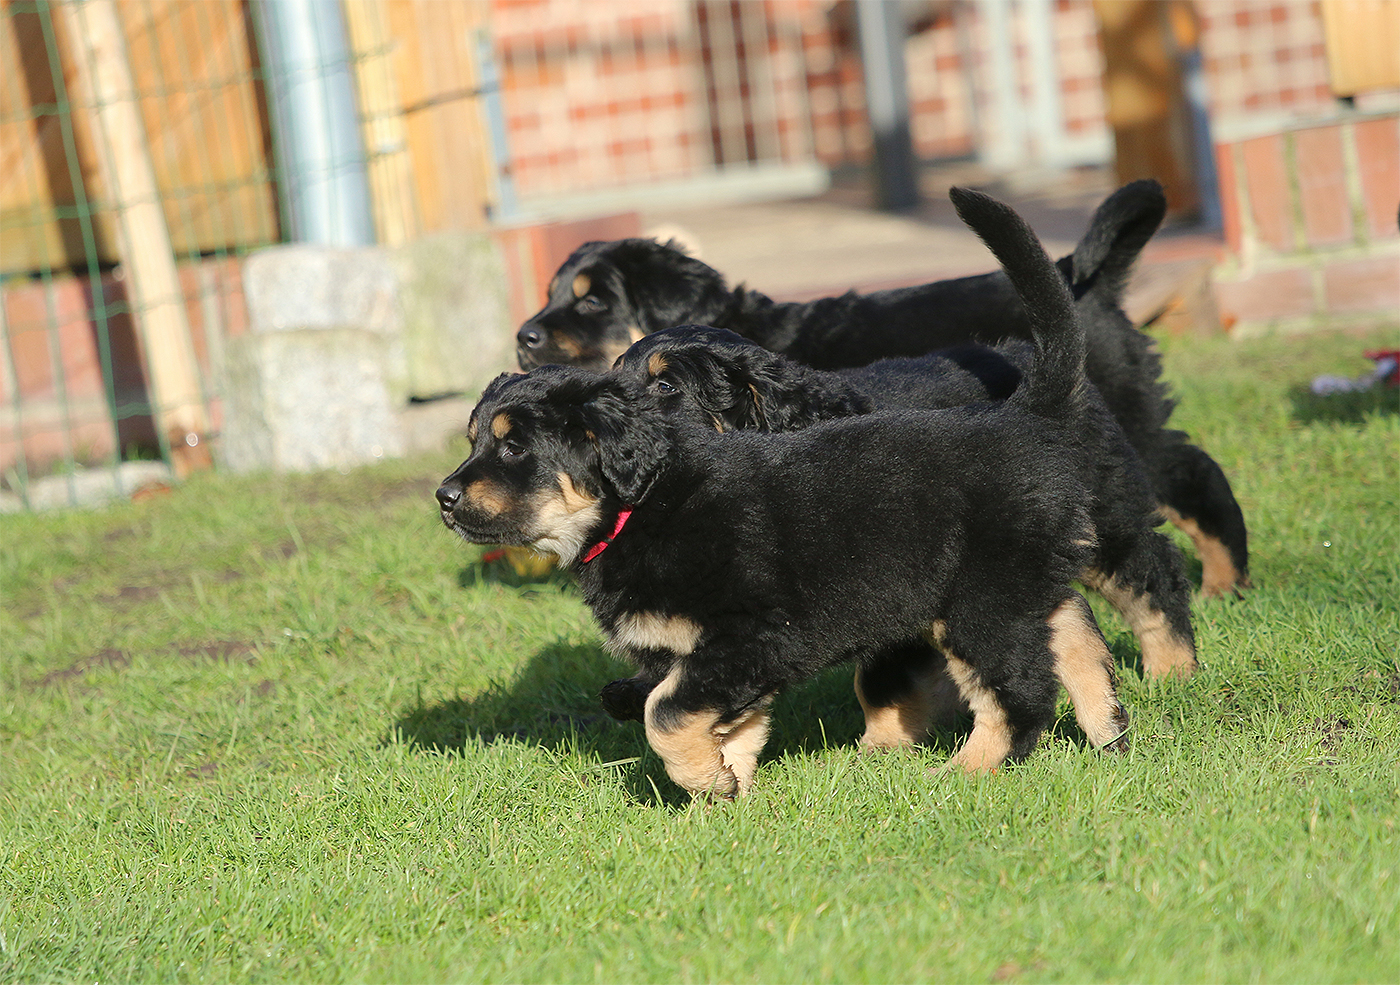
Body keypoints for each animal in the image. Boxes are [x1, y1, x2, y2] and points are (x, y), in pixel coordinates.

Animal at [437, 188, 1130, 799]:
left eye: (514, 448)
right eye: (474, 441)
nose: (444, 496)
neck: (642, 508)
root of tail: (1024, 414)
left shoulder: (753, 637)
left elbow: (665, 713)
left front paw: (703, 781)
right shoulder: (712, 658)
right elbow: (724, 722)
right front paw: (722, 793)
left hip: (977, 598)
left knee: (1020, 688)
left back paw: (965, 773)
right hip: (1013, 580)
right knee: (1071, 626)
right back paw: (1109, 731)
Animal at [516, 180, 1250, 598]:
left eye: (592, 302)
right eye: (552, 293)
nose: (524, 335)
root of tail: (1076, 274)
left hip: (1122, 414)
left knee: (1188, 473)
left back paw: (1226, 582)